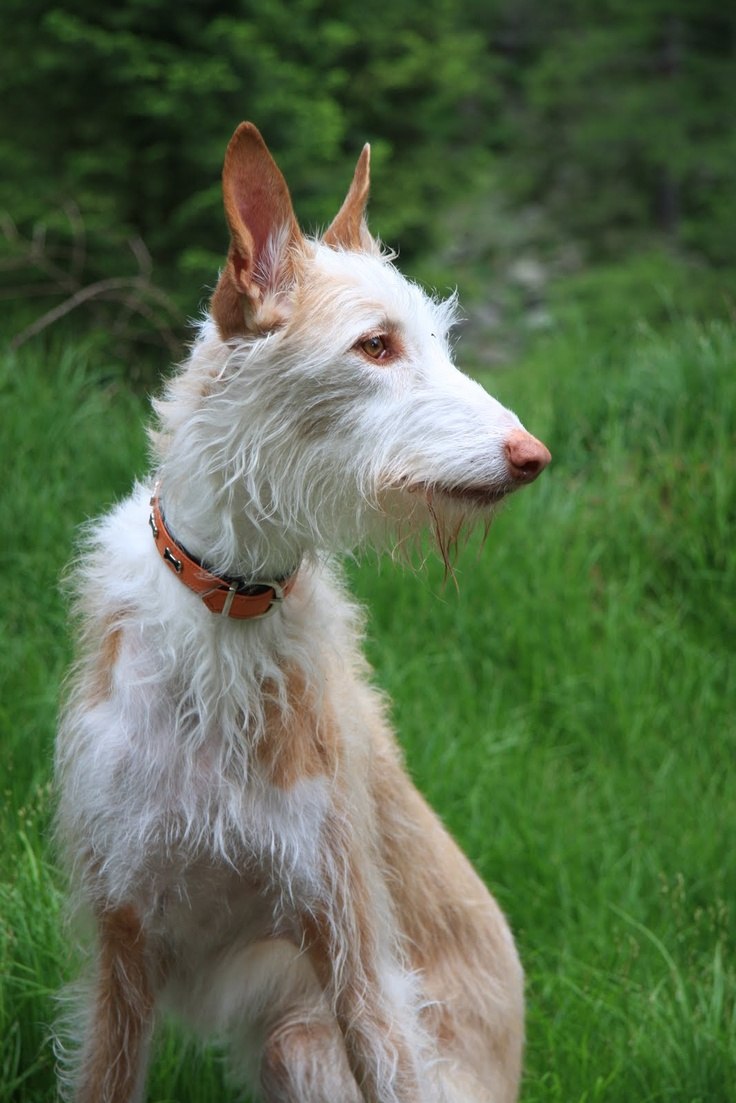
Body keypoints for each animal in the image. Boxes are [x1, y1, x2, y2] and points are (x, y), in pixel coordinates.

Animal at [56, 120, 551, 1103]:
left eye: (437, 342)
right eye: (376, 346)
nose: (533, 455)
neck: (226, 605)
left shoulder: (351, 939)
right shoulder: (120, 940)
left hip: (304, 1042)